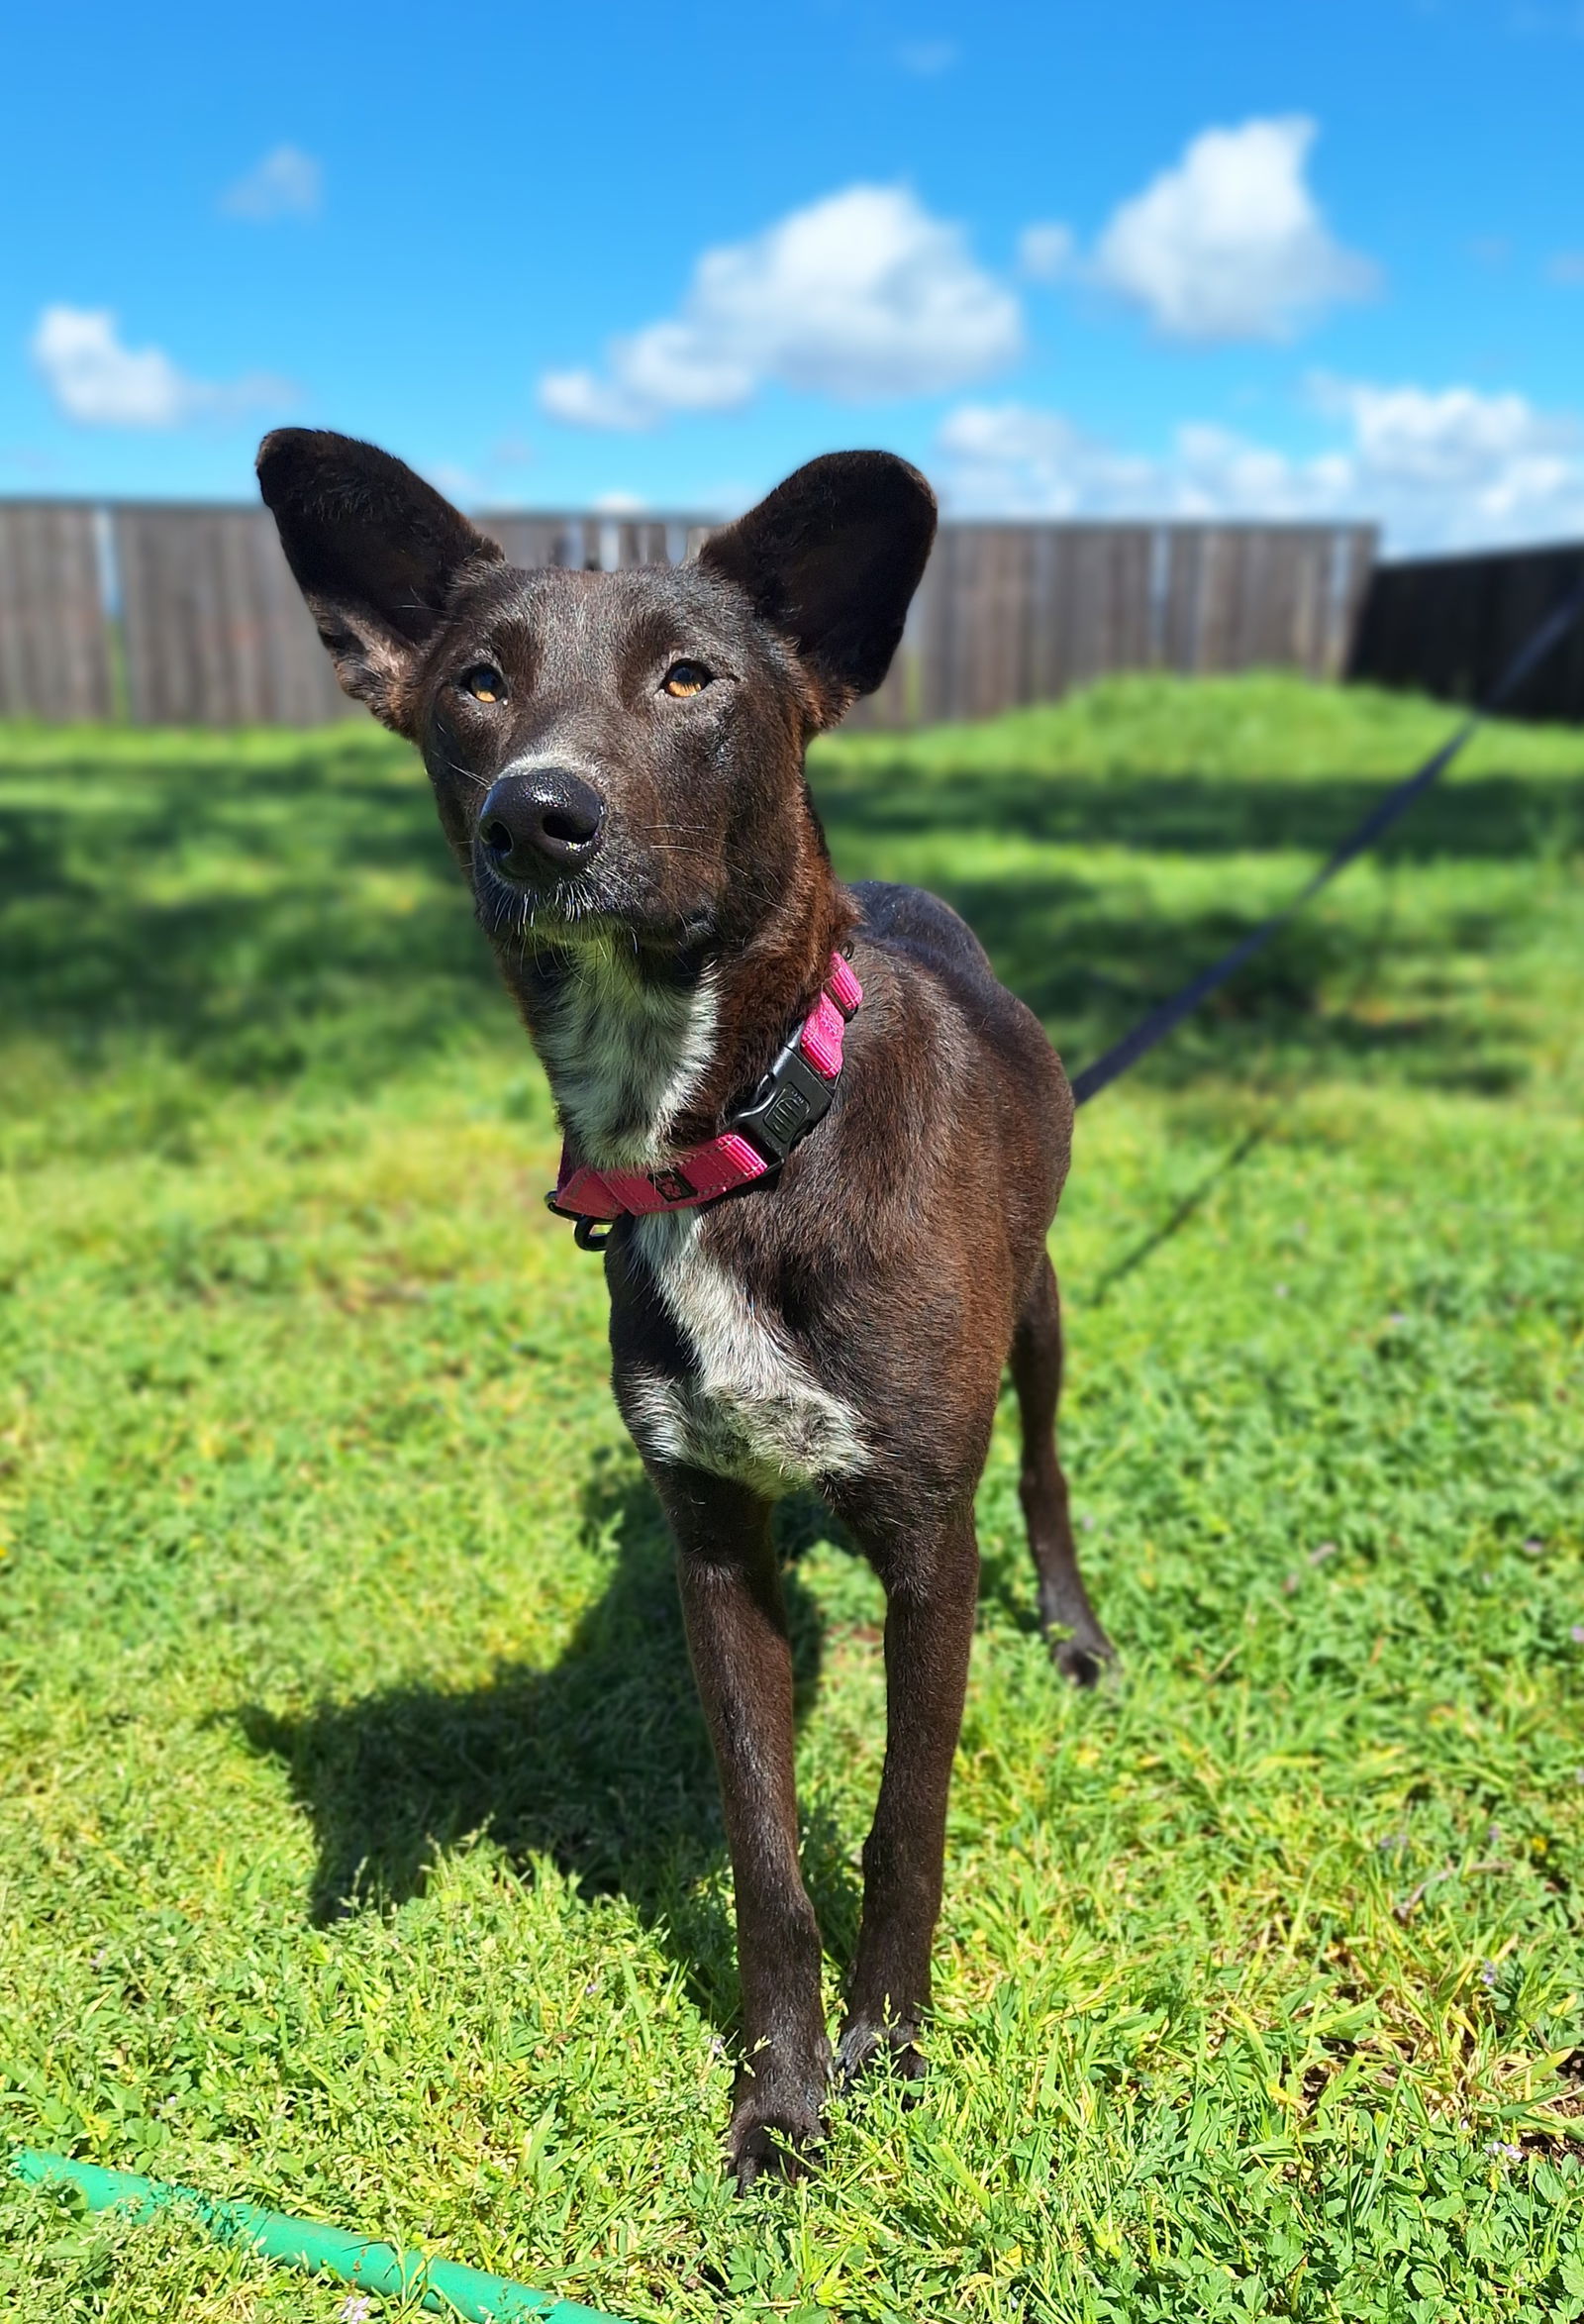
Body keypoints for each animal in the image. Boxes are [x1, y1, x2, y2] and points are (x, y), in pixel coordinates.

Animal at [255, 432, 1110, 2174]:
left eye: (689, 675)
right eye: (477, 683)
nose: (536, 818)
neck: (730, 1140)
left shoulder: (928, 1535)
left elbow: (903, 1822)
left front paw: (889, 2050)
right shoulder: (711, 1534)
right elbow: (764, 1843)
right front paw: (781, 2092)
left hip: (1041, 1317)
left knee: (1050, 1472)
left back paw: (1072, 1629)